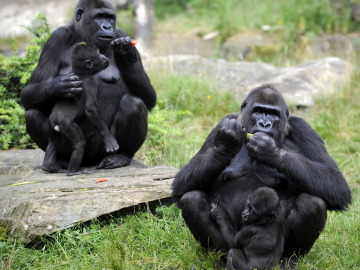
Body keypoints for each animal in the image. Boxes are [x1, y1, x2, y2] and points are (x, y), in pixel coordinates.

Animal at [42, 42, 118, 175]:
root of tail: (56, 122)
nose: (104, 56)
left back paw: (49, 166)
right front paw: (108, 138)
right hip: (67, 125)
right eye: (98, 53)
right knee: (79, 144)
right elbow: (91, 109)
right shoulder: (91, 82)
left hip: (51, 125)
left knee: (53, 142)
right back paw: (73, 171)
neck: (80, 72)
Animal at [172, 85, 352, 262]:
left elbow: (335, 182)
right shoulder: (223, 123)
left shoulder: (303, 128)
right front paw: (226, 143)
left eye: (273, 114)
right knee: (191, 199)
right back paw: (221, 257)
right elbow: (182, 183)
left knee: (313, 202)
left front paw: (270, 150)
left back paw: (290, 259)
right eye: (258, 111)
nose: (264, 124)